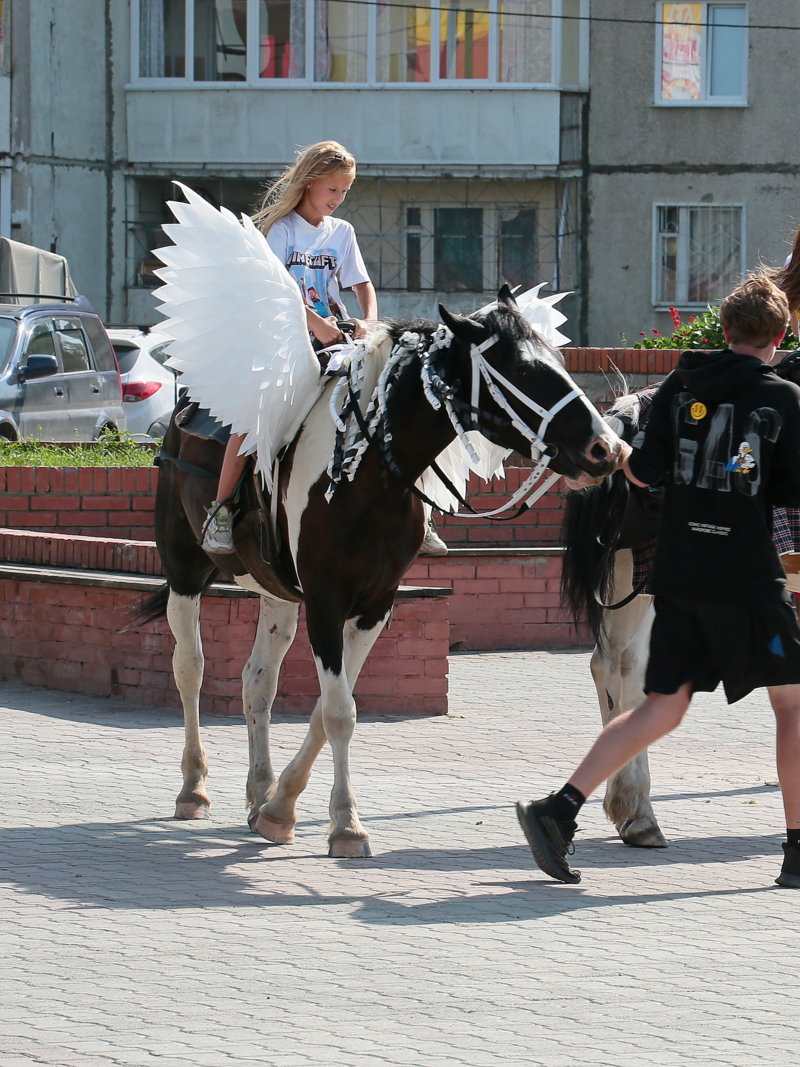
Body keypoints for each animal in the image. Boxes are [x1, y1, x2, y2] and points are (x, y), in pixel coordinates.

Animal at [151, 290, 627, 857]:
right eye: (522, 369)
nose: (608, 449)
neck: (369, 476)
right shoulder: (326, 601)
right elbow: (339, 712)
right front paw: (344, 826)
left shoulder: (375, 605)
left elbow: (328, 708)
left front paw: (280, 808)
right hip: (184, 569)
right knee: (190, 668)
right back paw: (192, 788)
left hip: (277, 595)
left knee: (257, 682)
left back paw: (258, 790)